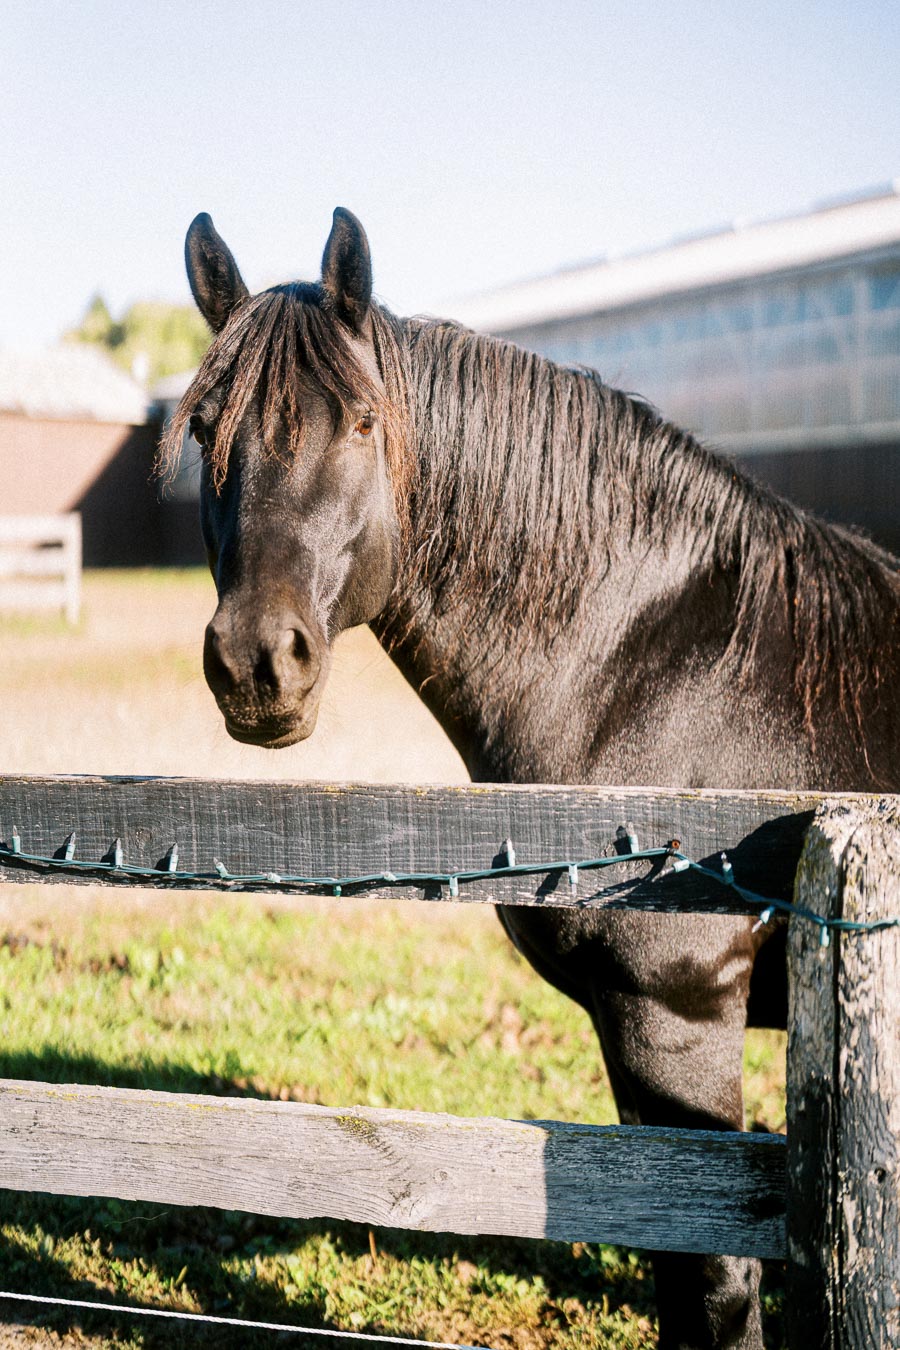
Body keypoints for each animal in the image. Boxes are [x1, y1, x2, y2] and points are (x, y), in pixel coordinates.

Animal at [162, 206, 900, 1350]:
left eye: (364, 422)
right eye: (205, 430)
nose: (254, 662)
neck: (659, 670)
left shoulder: (679, 1020)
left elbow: (715, 1287)